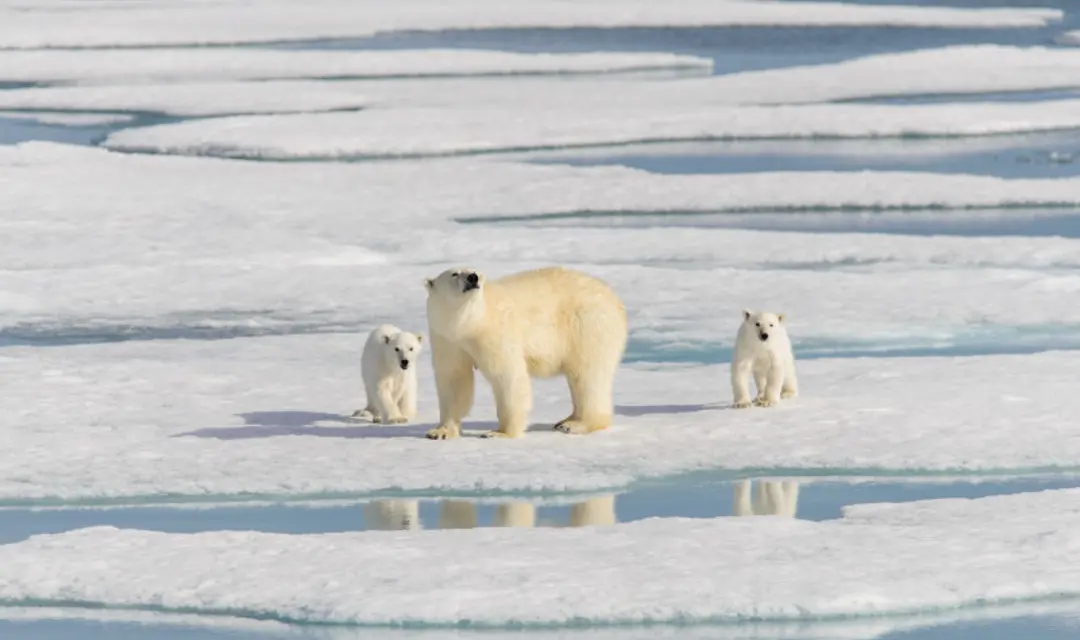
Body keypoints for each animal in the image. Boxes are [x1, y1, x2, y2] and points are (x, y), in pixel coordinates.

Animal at [422, 266, 628, 440]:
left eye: (475, 272)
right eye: (454, 274)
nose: (473, 278)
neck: (469, 324)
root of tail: (615, 299)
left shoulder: (495, 333)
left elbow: (507, 376)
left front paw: (500, 433)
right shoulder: (448, 340)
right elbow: (454, 379)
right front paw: (440, 431)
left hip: (588, 325)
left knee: (587, 375)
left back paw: (577, 424)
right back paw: (566, 420)